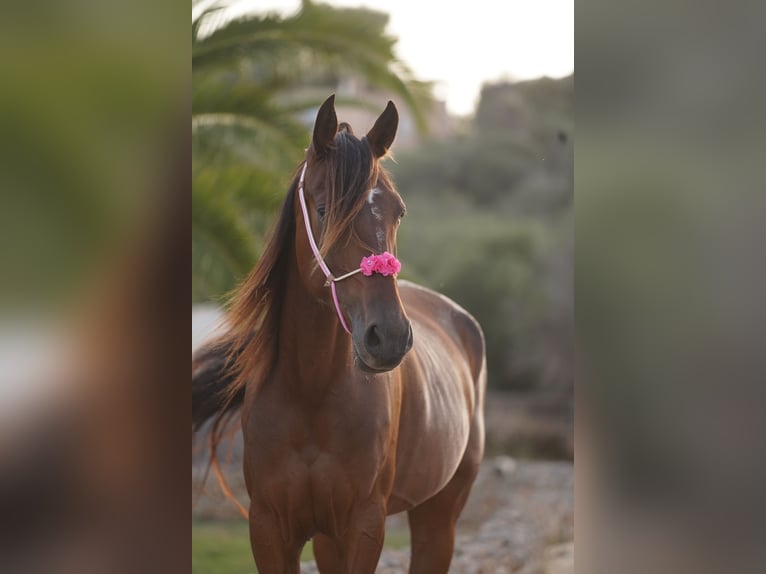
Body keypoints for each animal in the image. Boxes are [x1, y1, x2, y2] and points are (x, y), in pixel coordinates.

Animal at [193, 94, 486, 573]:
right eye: (324, 208)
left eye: (398, 211)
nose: (388, 336)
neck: (309, 392)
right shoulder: (269, 528)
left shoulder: (363, 527)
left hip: (438, 517)